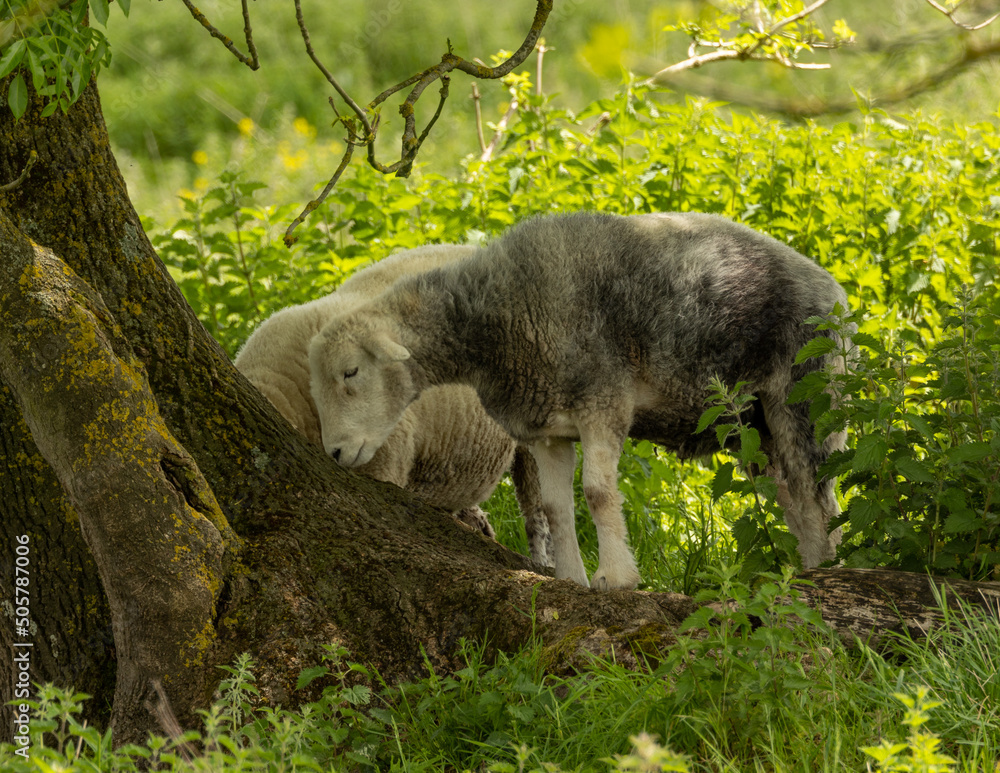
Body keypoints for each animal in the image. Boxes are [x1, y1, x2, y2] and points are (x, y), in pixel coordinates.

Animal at [308, 211, 851, 590]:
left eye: (351, 371)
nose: (333, 453)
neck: (497, 320)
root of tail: (834, 290)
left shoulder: (602, 403)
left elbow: (597, 494)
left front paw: (617, 578)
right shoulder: (546, 428)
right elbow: (554, 508)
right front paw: (570, 578)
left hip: (806, 396)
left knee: (819, 498)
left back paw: (830, 572)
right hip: (753, 425)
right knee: (794, 499)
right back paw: (811, 571)